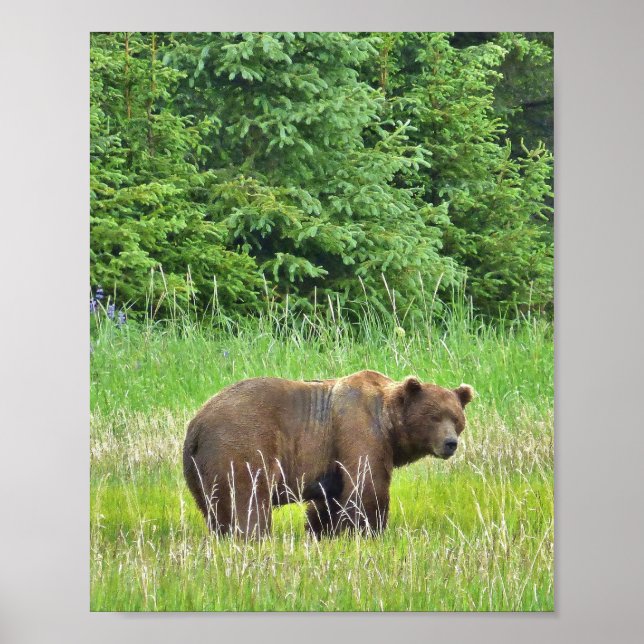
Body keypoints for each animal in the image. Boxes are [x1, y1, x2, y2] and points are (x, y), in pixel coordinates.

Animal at [183, 370, 473, 539]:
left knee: (215, 507)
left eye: (457, 418)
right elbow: (366, 486)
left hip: (199, 469)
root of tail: (197, 424)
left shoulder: (333, 459)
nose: (450, 443)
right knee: (247, 498)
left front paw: (323, 531)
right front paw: (368, 530)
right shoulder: (358, 429)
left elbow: (331, 499)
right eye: (434, 416)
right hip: (242, 442)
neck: (388, 423)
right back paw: (252, 535)